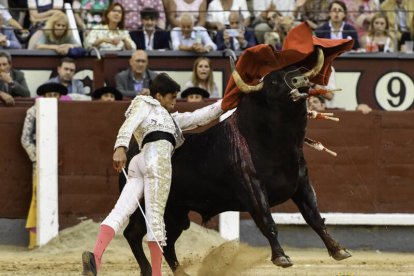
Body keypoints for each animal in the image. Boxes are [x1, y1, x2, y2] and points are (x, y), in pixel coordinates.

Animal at [118, 66, 350, 274]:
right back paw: (147, 269)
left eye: (296, 71)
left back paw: (180, 272)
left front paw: (338, 249)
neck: (276, 145)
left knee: (166, 241)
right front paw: (281, 257)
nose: (300, 80)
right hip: (145, 204)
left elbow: (314, 217)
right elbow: (267, 220)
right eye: (273, 82)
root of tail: (133, 150)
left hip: (176, 211)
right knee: (134, 233)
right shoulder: (252, 187)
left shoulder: (301, 183)